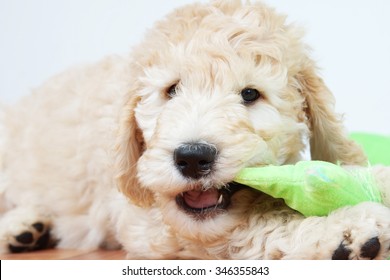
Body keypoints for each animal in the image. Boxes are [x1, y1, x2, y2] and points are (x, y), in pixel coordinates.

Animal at [0, 0, 390, 260]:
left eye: (250, 94)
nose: (191, 157)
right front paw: (340, 229)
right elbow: (255, 223)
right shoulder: (150, 222)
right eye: (171, 90)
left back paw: (29, 228)